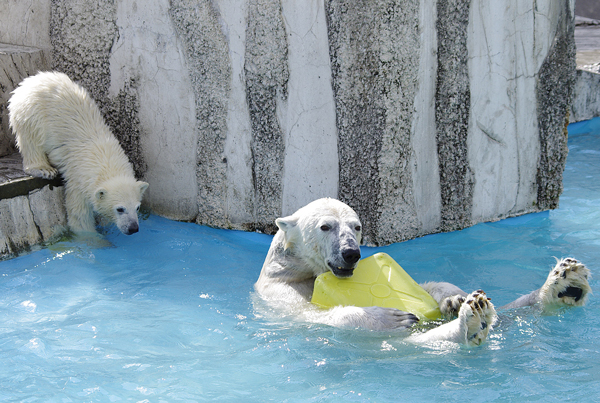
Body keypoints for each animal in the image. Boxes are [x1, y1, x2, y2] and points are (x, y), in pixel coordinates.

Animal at [7, 72, 148, 237]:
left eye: (137, 207)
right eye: (120, 209)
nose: (133, 228)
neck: (104, 157)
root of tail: (33, 79)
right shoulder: (78, 182)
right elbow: (79, 218)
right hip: (31, 111)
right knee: (32, 140)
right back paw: (43, 169)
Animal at [253, 199, 592, 348]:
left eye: (356, 226)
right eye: (326, 226)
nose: (352, 253)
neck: (302, 270)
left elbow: (427, 285)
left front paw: (453, 300)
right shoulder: (282, 292)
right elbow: (313, 315)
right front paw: (391, 317)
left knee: (509, 314)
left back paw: (564, 284)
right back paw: (471, 325)